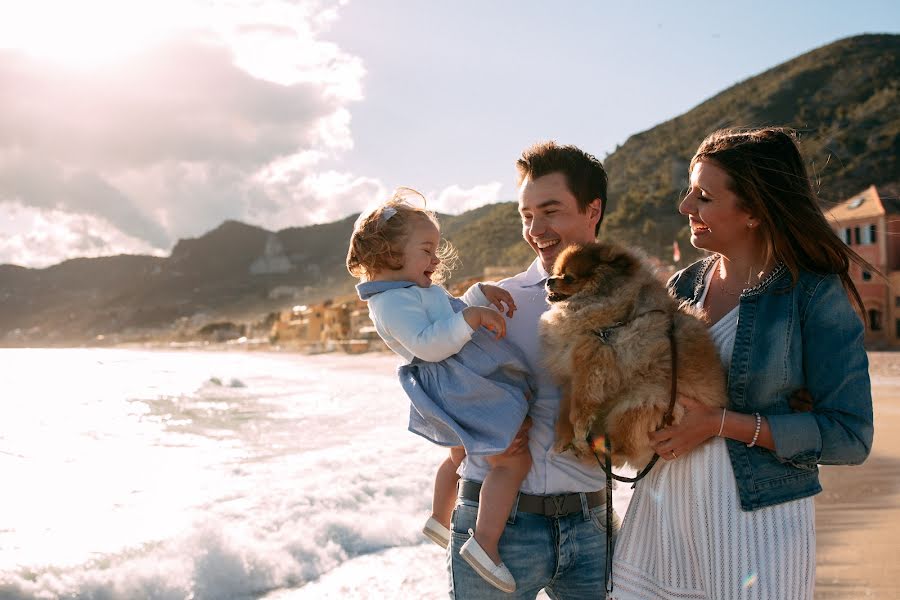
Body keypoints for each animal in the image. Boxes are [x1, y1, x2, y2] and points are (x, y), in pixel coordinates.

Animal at [536, 241, 728, 466]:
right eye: (556, 272)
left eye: (568, 278)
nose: (549, 280)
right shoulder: (572, 375)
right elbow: (566, 411)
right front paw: (563, 439)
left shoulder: (592, 366)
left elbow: (580, 411)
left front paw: (579, 434)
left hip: (638, 404)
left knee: (621, 449)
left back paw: (591, 451)